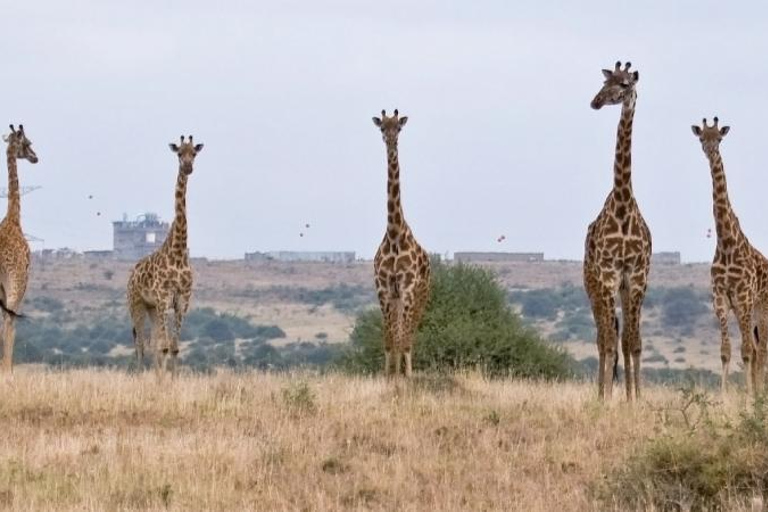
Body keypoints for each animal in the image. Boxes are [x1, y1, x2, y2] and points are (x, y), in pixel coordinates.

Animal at [127, 135, 202, 376]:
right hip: (137, 304)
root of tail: (131, 273)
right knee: (140, 344)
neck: (178, 251)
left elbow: (174, 347)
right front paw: (161, 380)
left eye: (194, 153)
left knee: (152, 344)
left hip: (152, 308)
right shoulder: (162, 297)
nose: (187, 167)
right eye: (179, 153)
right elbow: (165, 346)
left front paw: (172, 379)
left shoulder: (182, 300)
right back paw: (141, 375)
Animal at [688, 118, 768, 394]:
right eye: (702, 138)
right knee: (757, 351)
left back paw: (758, 396)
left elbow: (746, 352)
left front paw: (748, 400)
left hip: (761, 310)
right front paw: (724, 399)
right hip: (752, 315)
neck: (726, 243)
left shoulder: (743, 297)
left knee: (760, 352)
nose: (710, 151)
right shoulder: (721, 298)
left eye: (720, 139)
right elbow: (726, 351)